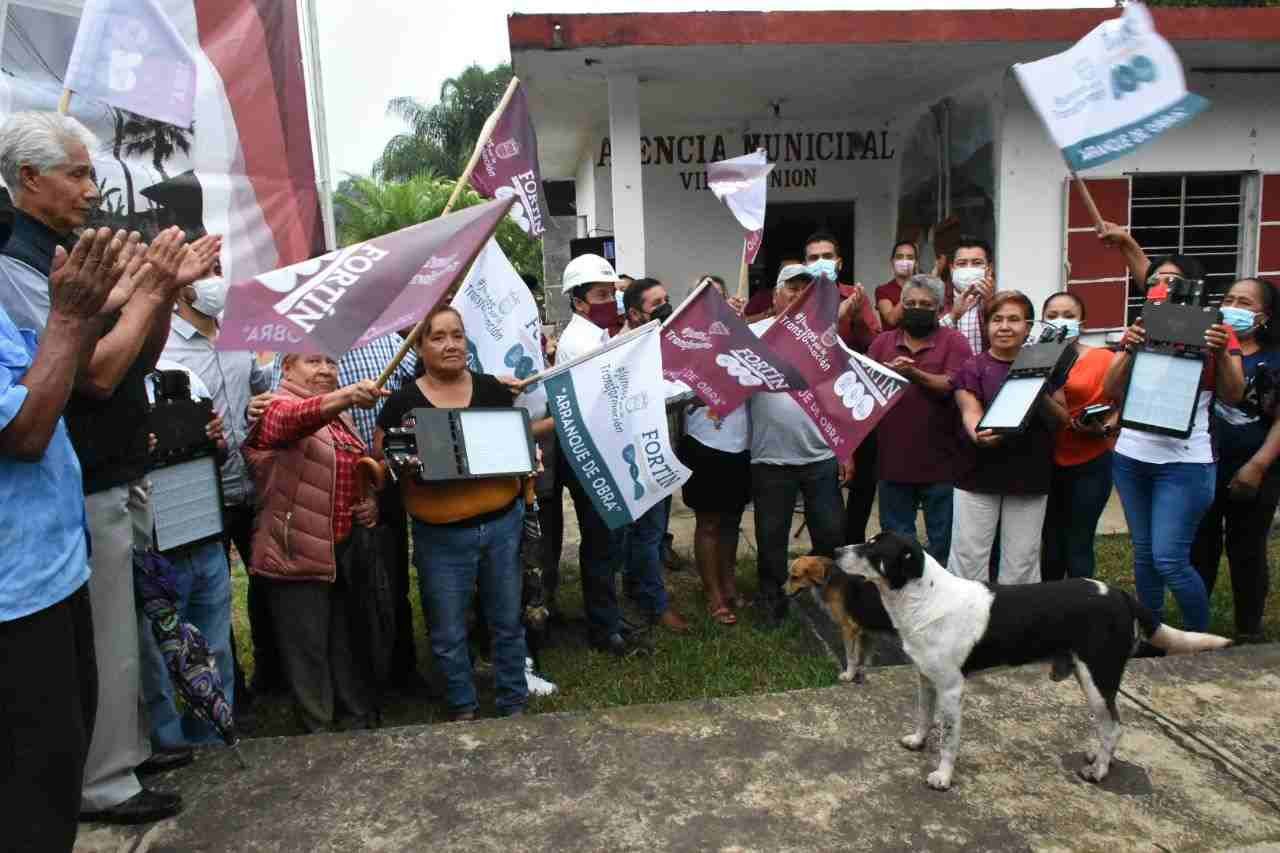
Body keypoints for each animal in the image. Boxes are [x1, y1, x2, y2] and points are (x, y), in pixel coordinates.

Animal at [834, 532, 1233, 788]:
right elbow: (923, 716)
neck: (924, 599)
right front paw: (918, 741)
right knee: (1108, 725)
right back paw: (1096, 758)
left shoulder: (951, 688)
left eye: (873, 549)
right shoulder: (926, 678)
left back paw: (1099, 772)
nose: (836, 550)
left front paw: (943, 778)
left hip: (1098, 677)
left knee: (1114, 726)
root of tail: (1121, 594)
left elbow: (948, 738)